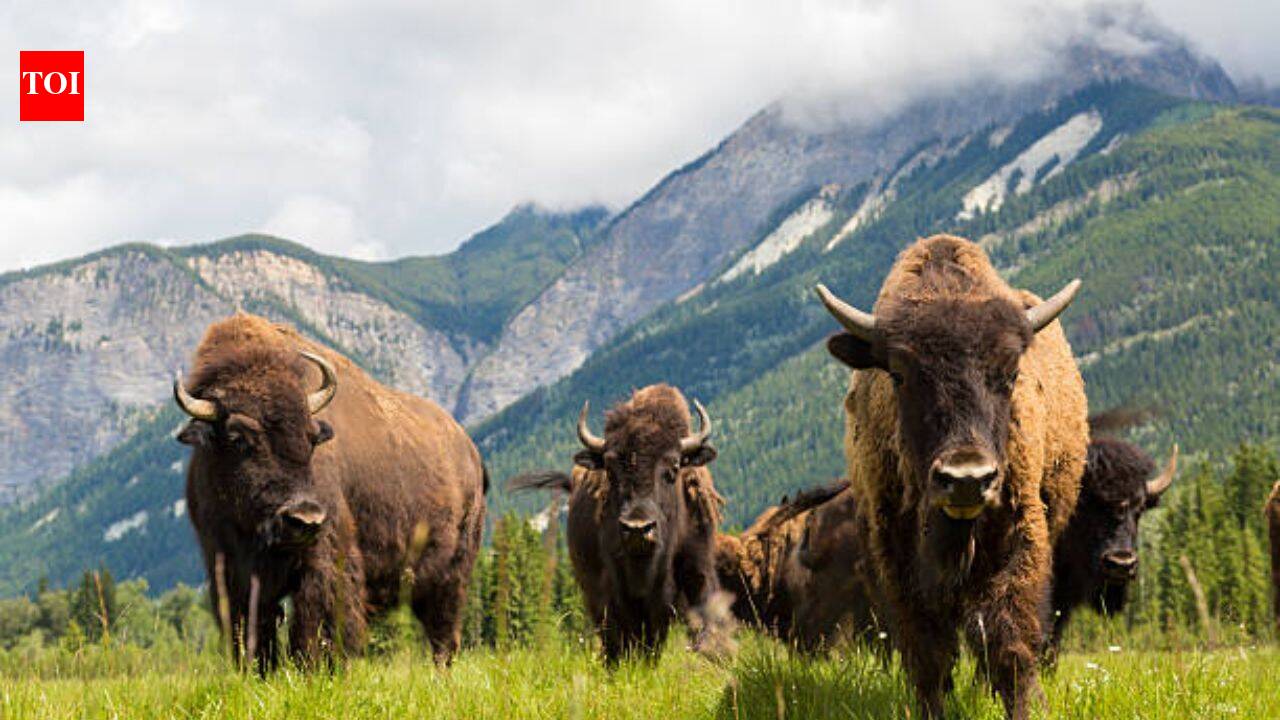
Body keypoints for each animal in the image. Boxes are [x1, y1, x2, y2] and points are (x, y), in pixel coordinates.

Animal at [174, 313, 486, 670]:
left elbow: (317, 622)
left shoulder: (323, 558)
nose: (304, 517)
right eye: (238, 438)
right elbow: (254, 629)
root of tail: (470, 452)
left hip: (452, 575)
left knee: (443, 634)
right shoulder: (229, 567)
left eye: (311, 438)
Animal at [815, 234, 1087, 718]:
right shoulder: (899, 556)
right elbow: (929, 652)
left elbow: (1009, 641)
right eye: (899, 374)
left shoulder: (1019, 538)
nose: (966, 478)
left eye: (1011, 372)